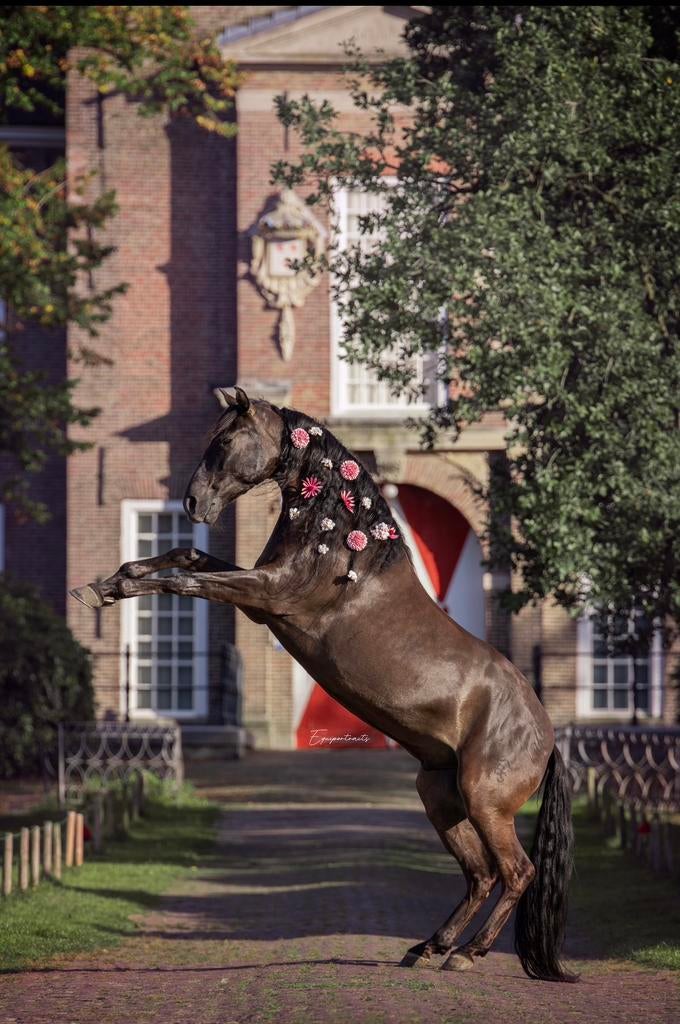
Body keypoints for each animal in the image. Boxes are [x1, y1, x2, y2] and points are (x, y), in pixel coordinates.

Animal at [70, 386, 577, 982]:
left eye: (226, 440)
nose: (193, 504)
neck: (342, 546)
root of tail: (546, 735)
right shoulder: (257, 587)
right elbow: (187, 556)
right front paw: (105, 585)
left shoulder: (266, 597)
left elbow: (186, 579)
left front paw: (111, 587)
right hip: (440, 794)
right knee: (480, 875)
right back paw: (429, 947)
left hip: (485, 800)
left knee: (517, 872)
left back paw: (466, 955)